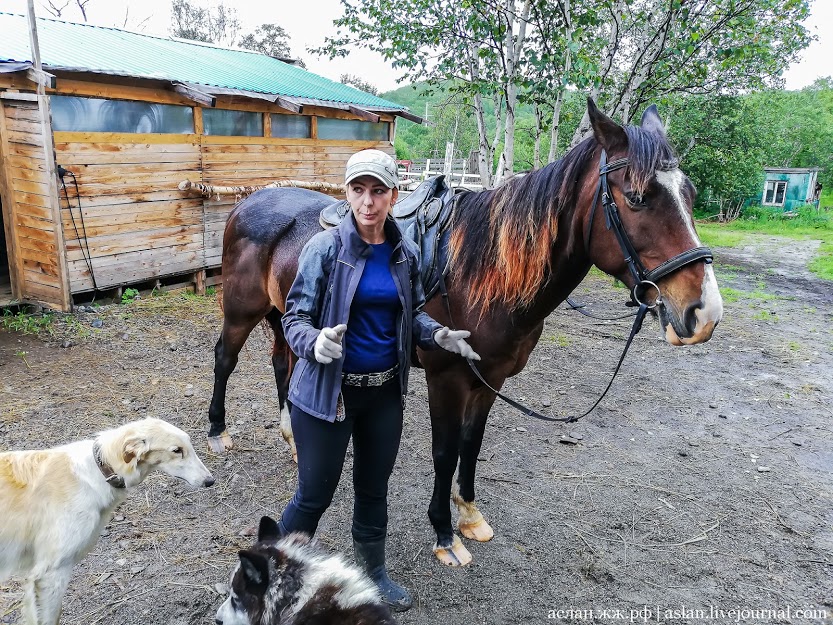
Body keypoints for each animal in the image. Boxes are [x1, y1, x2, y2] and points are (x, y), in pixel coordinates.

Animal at [206, 101, 720, 564]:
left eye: (691, 195)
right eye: (636, 197)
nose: (704, 313)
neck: (481, 267)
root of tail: (249, 202)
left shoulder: (490, 378)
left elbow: (471, 445)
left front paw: (470, 516)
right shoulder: (447, 379)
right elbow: (444, 451)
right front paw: (443, 534)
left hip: (282, 316)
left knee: (284, 363)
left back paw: (293, 439)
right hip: (242, 311)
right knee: (225, 358)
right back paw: (217, 433)